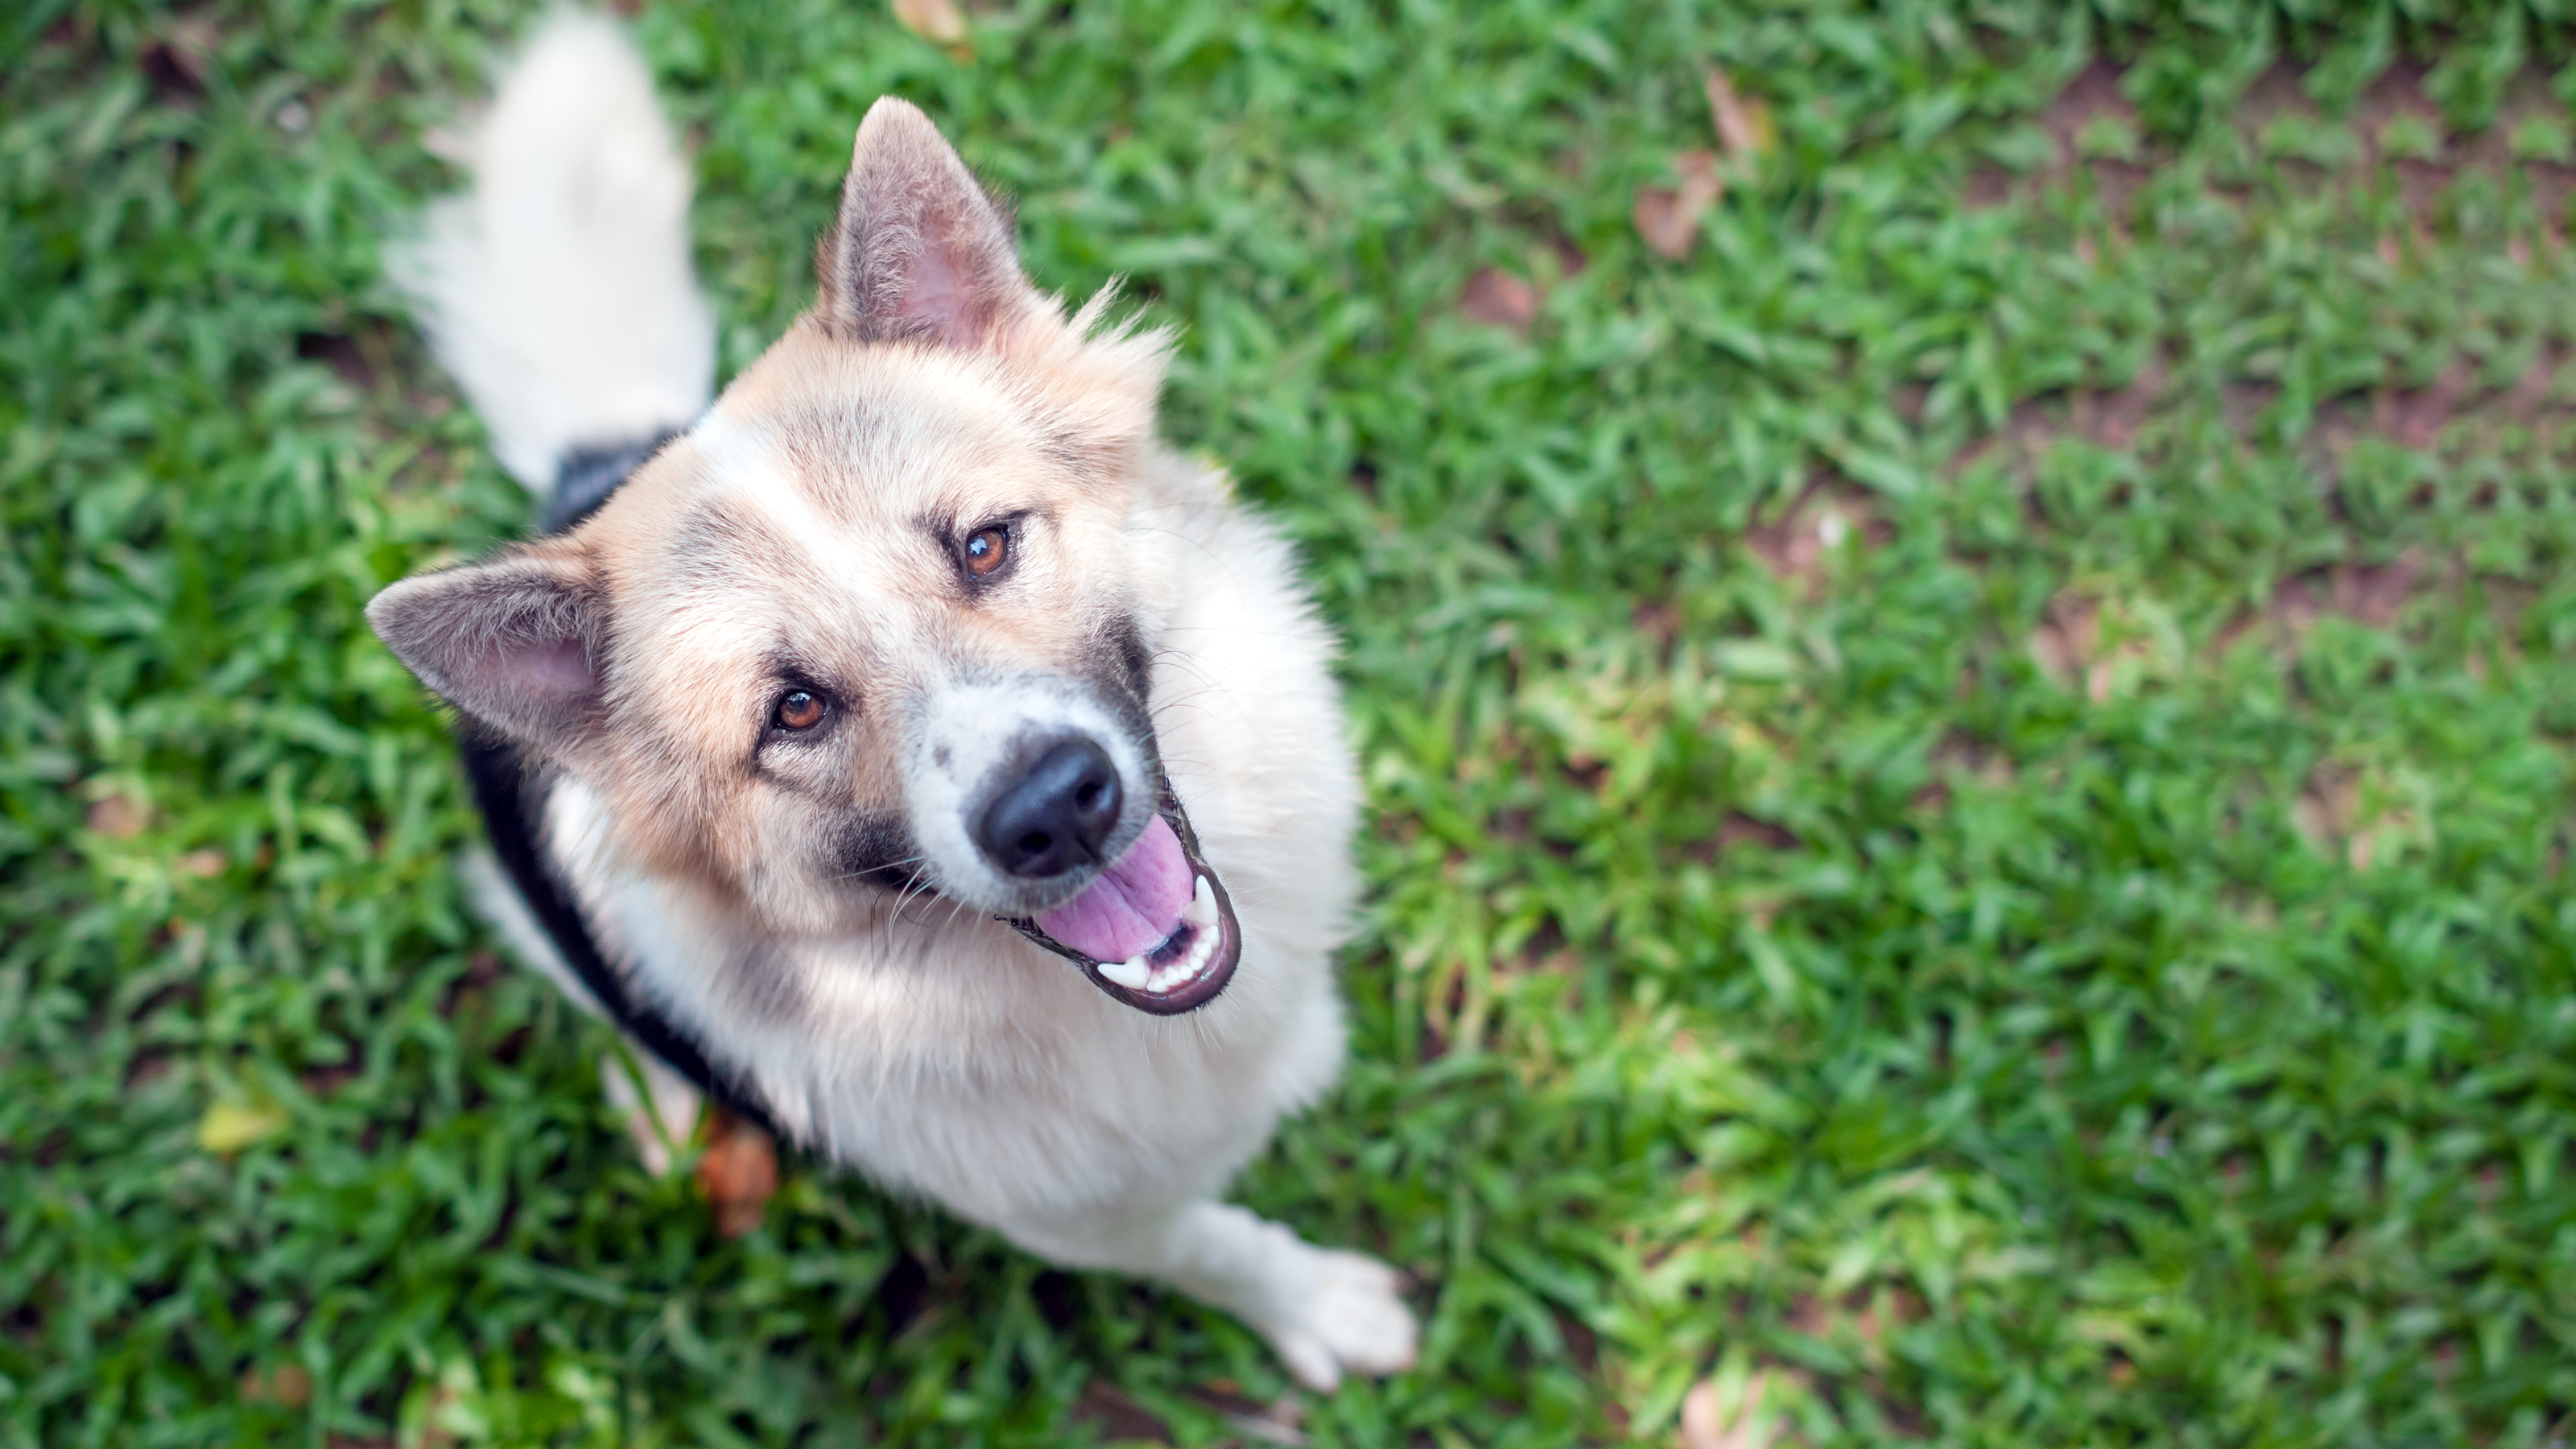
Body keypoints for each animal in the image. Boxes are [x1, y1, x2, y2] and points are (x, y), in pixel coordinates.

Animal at [368, 11, 1411, 1392]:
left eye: (984, 546)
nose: (1055, 811)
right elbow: (1212, 1241)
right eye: (795, 712)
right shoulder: (1089, 1219)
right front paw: (1313, 1304)